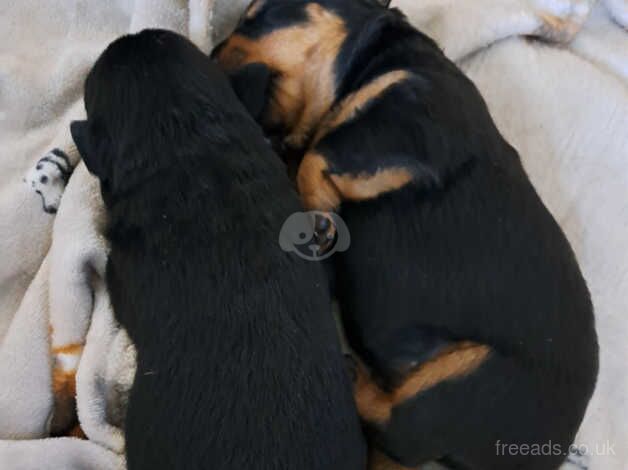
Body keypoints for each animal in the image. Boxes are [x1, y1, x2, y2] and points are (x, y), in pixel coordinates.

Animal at [215, 1, 600, 468]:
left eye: (256, 16)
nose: (210, 50)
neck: (374, 58)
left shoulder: (408, 122)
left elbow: (321, 152)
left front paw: (319, 219)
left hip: (472, 380)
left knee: (401, 426)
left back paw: (352, 374)